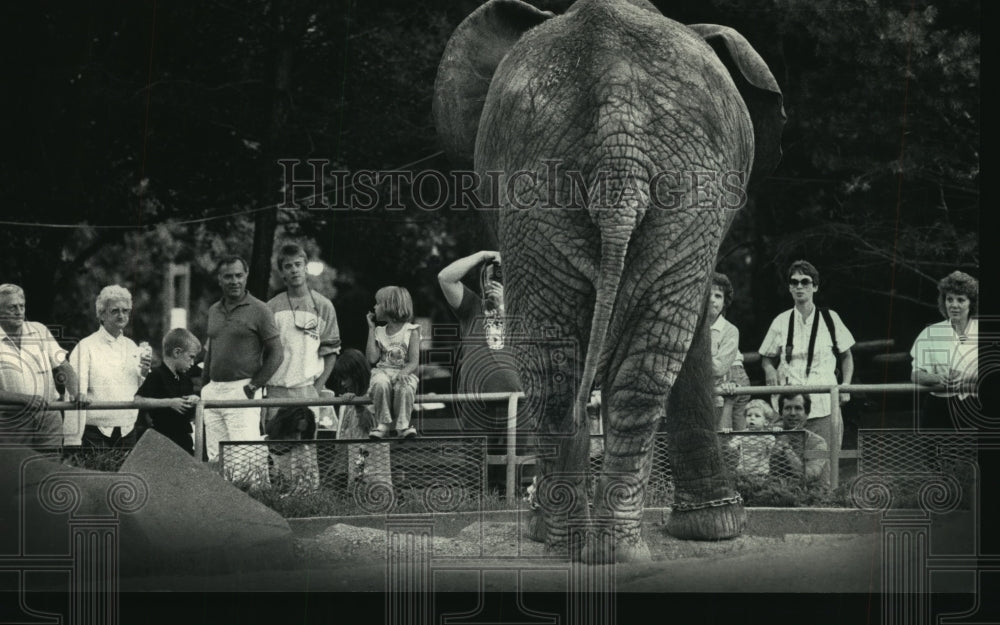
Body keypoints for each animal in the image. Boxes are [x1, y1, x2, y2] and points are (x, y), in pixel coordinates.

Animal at [434, 0, 784, 564]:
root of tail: (618, 113)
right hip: (599, 184)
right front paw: (715, 528)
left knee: (567, 373)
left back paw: (581, 544)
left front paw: (711, 529)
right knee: (599, 371)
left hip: (577, 184)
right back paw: (590, 545)